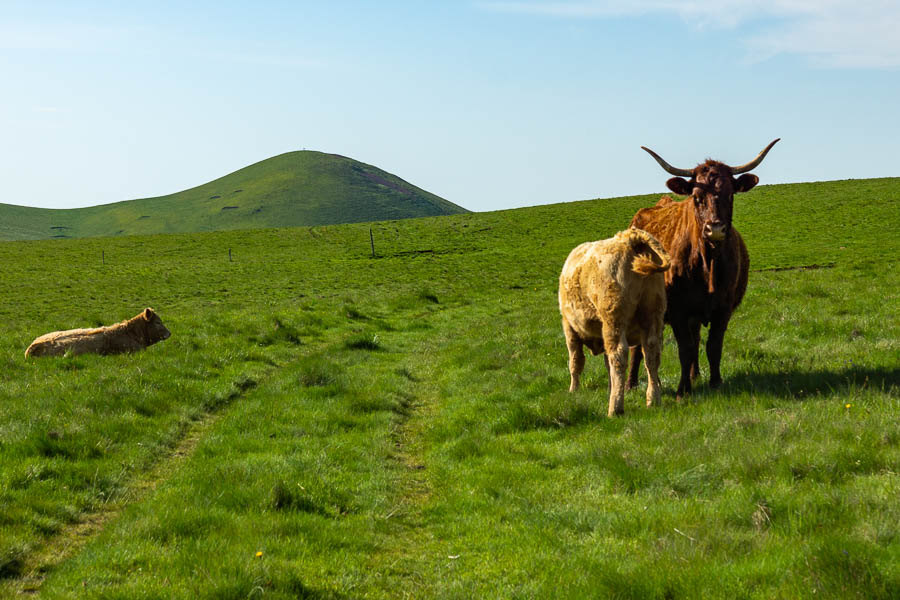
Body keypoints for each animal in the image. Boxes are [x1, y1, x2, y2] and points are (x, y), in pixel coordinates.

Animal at [559, 228, 671, 416]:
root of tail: (629, 238)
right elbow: (605, 364)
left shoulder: (569, 328)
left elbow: (575, 361)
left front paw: (573, 390)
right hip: (653, 314)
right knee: (652, 354)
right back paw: (653, 399)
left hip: (614, 320)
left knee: (618, 355)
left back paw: (615, 407)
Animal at [627, 139, 779, 400]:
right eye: (697, 197)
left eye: (730, 194)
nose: (714, 228)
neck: (708, 263)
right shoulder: (678, 309)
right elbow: (685, 349)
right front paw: (682, 390)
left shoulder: (723, 308)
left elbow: (712, 346)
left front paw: (715, 383)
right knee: (639, 346)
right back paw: (631, 384)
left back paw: (694, 375)